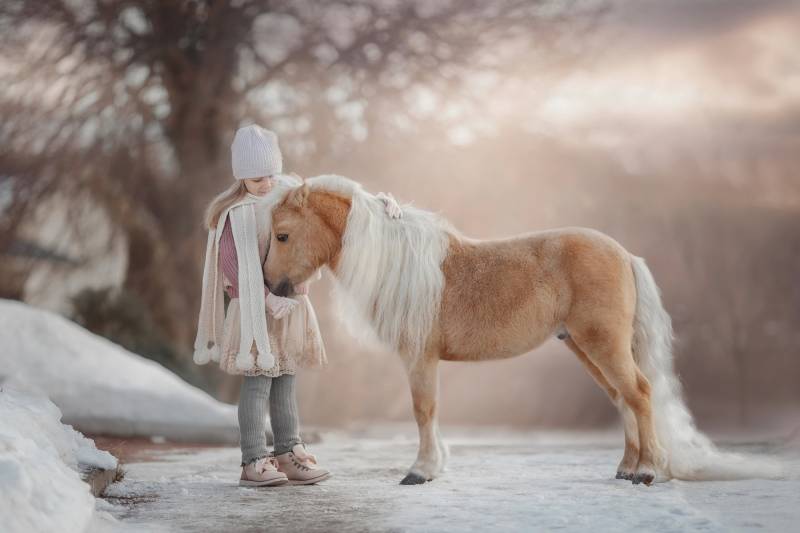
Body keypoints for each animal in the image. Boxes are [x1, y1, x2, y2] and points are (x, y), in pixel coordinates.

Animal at [263, 174, 780, 486]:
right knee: (623, 398)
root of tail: (623, 253)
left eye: (283, 234)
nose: (270, 285)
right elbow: (430, 412)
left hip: (602, 343)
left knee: (639, 392)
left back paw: (648, 471)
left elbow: (423, 410)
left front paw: (421, 471)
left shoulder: (420, 357)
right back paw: (626, 468)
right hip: (586, 348)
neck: (400, 262)